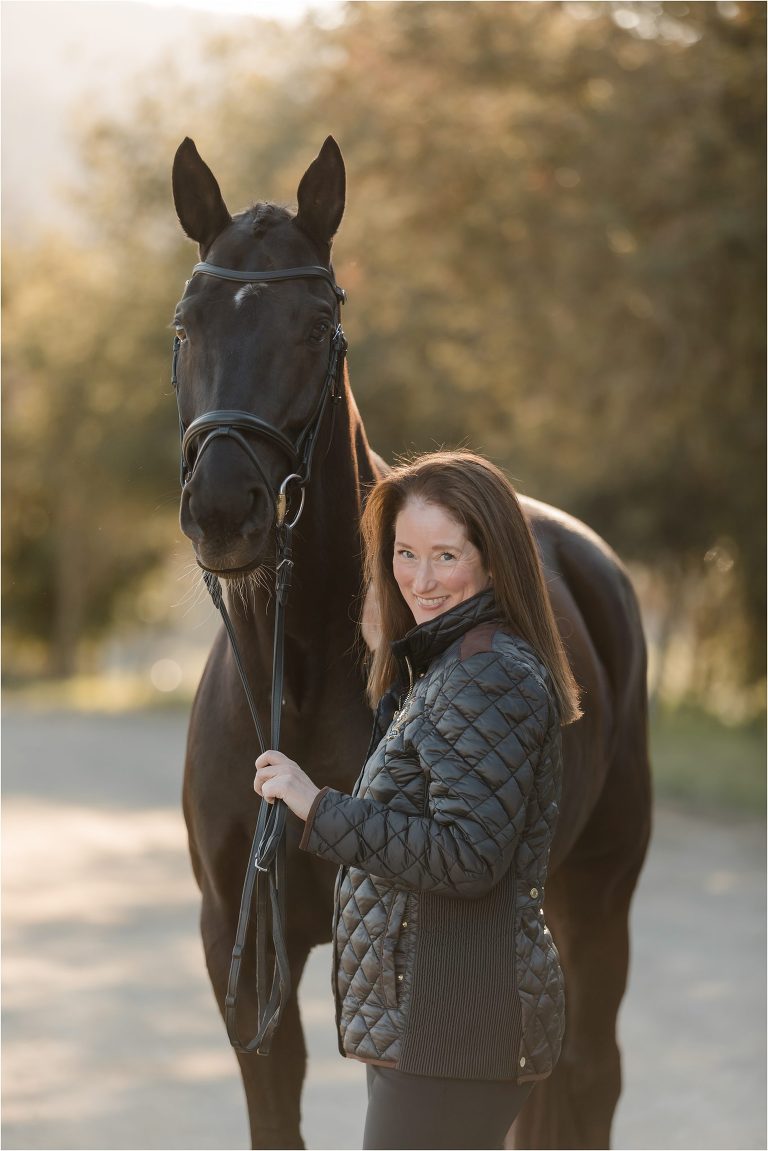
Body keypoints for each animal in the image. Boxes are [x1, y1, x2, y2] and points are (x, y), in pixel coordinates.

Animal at [170, 135, 651, 1150]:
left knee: (590, 1074)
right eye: (187, 322)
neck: (300, 680)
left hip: (600, 890)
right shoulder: (242, 944)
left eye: (317, 324)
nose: (226, 507)